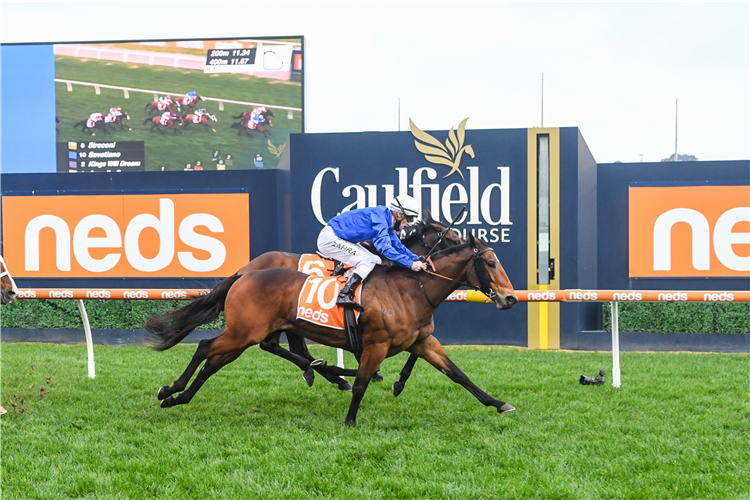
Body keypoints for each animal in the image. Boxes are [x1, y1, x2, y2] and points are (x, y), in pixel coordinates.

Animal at [150, 234, 520, 426]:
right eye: (490, 263)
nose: (510, 298)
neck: (410, 289)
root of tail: (244, 274)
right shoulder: (376, 344)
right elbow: (361, 385)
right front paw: (351, 419)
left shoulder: (424, 341)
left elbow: (458, 374)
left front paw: (498, 403)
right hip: (243, 333)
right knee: (205, 349)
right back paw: (170, 389)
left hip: (245, 336)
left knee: (215, 362)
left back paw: (178, 398)